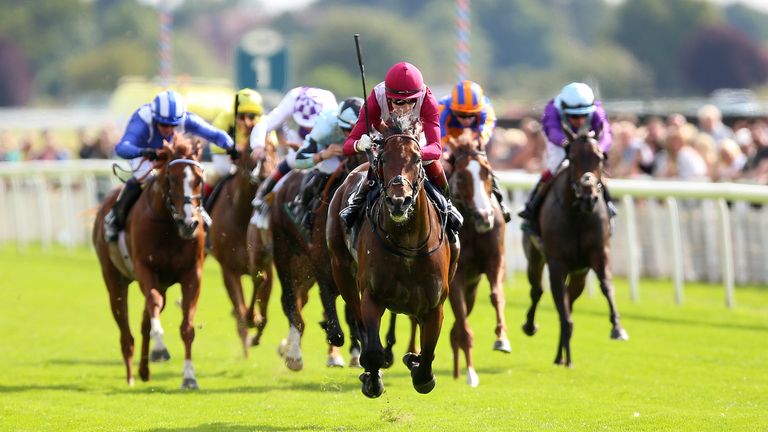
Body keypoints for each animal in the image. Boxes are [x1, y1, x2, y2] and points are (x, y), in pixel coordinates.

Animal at [93, 133, 207, 390]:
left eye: (199, 178)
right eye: (171, 178)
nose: (190, 223)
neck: (169, 226)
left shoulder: (192, 274)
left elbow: (187, 328)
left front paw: (189, 377)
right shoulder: (145, 268)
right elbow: (153, 303)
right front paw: (160, 349)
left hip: (161, 283)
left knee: (145, 322)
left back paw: (144, 371)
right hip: (114, 280)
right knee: (126, 330)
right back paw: (130, 375)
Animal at [207, 140, 276, 356]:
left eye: (273, 148)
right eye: (250, 151)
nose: (266, 173)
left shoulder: (266, 264)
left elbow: (261, 281)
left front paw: (256, 323)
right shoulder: (229, 269)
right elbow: (240, 304)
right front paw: (249, 319)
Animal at [326, 119, 456, 398]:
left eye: (417, 159)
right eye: (384, 159)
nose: (399, 201)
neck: (408, 245)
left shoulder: (434, 305)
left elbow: (427, 361)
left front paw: (417, 366)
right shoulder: (372, 295)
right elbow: (374, 351)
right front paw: (372, 381)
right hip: (341, 270)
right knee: (357, 318)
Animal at [444, 130, 510, 386]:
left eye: (487, 173)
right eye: (462, 176)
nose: (484, 217)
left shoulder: (495, 262)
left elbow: (496, 296)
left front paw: (502, 338)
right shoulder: (456, 277)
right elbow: (463, 325)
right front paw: (471, 374)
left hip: (472, 288)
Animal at [520, 129, 632, 368]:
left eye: (600, 158)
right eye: (572, 158)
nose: (589, 195)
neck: (579, 214)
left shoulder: (599, 255)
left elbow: (606, 286)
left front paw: (617, 328)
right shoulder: (557, 263)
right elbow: (561, 308)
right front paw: (567, 356)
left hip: (579, 275)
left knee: (568, 300)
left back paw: (560, 354)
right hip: (535, 259)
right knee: (537, 291)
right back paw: (532, 327)